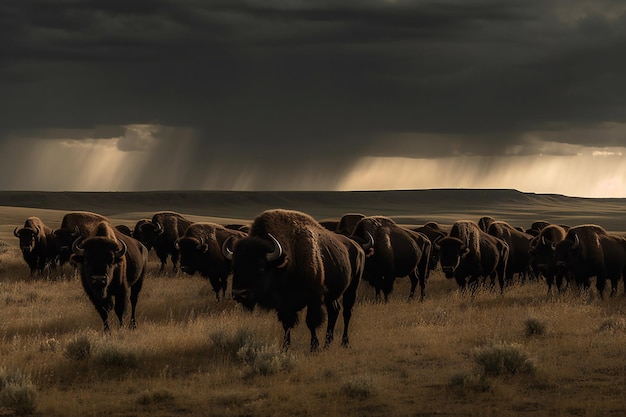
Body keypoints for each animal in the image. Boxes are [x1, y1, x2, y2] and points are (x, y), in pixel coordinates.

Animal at [223, 208, 364, 352]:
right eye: (234, 267)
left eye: (261, 267)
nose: (239, 293)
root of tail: (357, 247)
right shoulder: (285, 304)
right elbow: (287, 324)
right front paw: (285, 347)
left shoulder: (314, 298)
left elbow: (311, 322)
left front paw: (314, 346)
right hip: (332, 296)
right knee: (334, 311)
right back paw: (327, 343)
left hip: (352, 288)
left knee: (347, 313)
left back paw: (344, 342)